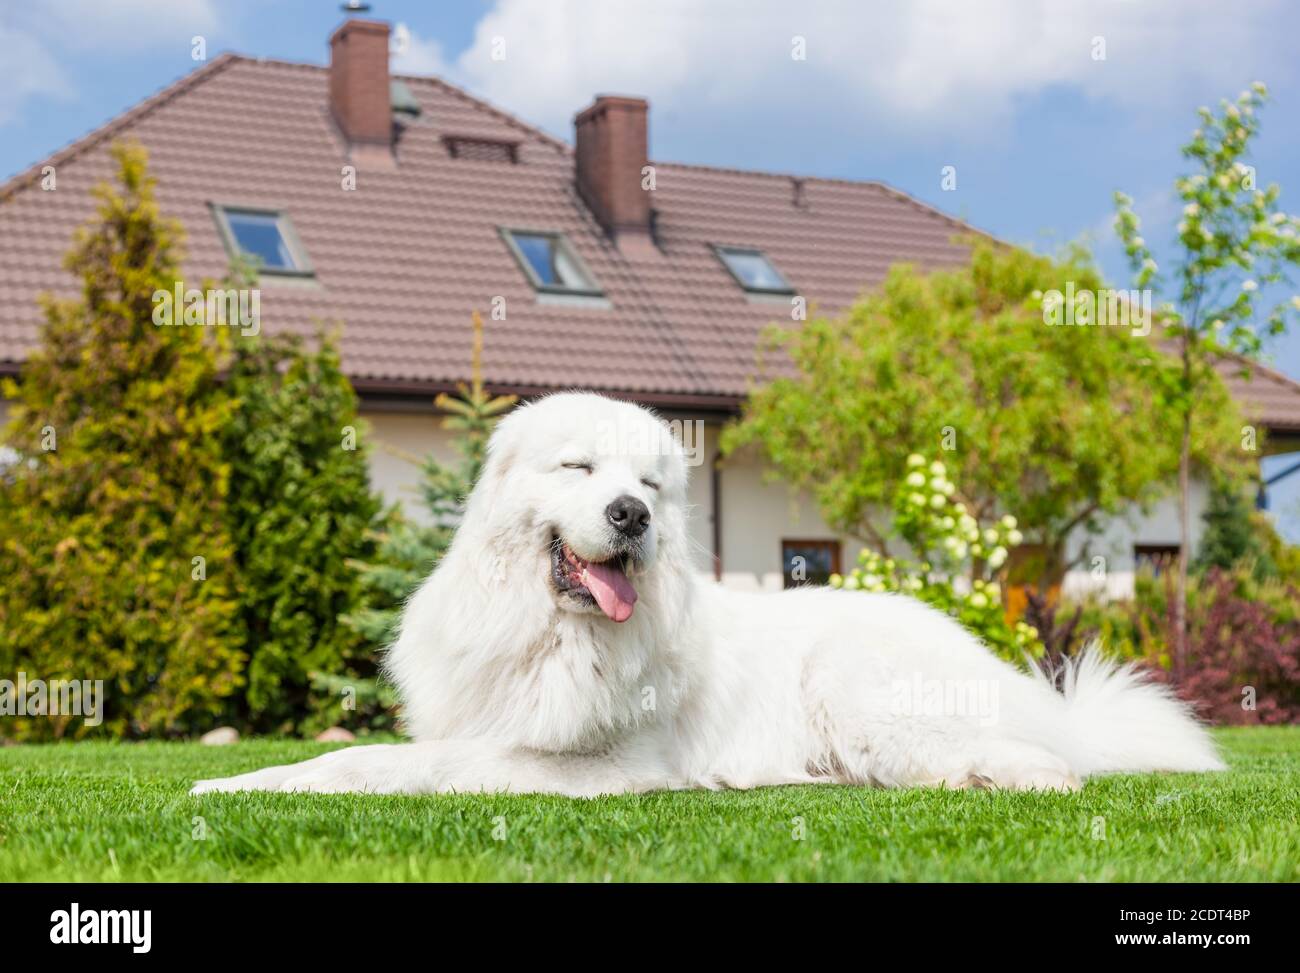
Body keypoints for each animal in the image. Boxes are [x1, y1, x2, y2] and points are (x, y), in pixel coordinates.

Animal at [189, 390, 1216, 796]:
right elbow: (347, 758)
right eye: (580, 467)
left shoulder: (597, 762)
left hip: (860, 687)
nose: (631, 514)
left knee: (1032, 762)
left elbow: (412, 766)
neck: (550, 630)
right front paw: (232, 779)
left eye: (650, 482)